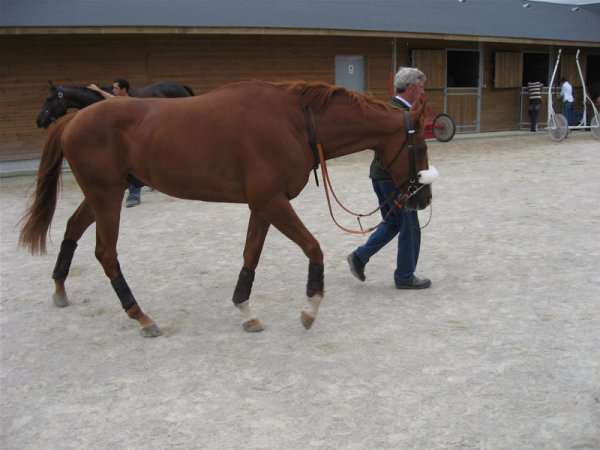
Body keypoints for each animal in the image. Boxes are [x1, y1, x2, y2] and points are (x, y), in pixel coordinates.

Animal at [18, 81, 436, 336]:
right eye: (421, 146)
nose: (422, 198)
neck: (294, 123)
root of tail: (75, 117)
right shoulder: (271, 201)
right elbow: (313, 248)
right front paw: (310, 308)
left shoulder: (263, 205)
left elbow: (251, 255)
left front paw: (245, 310)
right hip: (105, 196)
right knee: (106, 253)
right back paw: (141, 316)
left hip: (101, 194)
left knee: (72, 229)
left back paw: (60, 288)